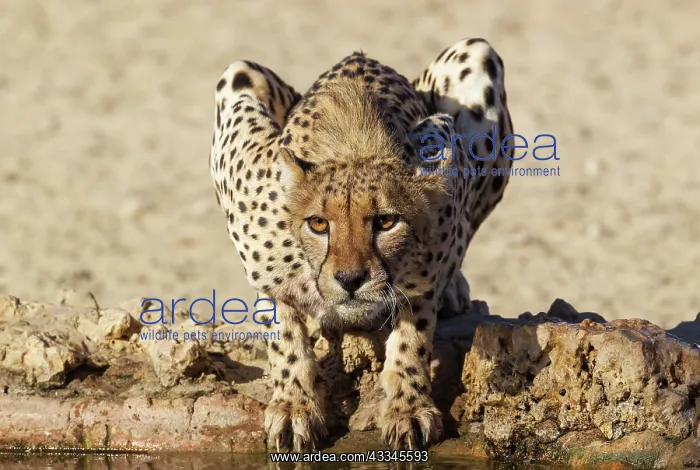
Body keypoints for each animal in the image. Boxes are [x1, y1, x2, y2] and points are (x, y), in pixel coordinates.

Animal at [209, 37, 514, 452]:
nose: (350, 279)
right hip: (240, 73)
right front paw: (293, 405)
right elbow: (283, 330)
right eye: (319, 224)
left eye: (386, 221)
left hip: (478, 56)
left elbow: (414, 331)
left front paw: (408, 406)